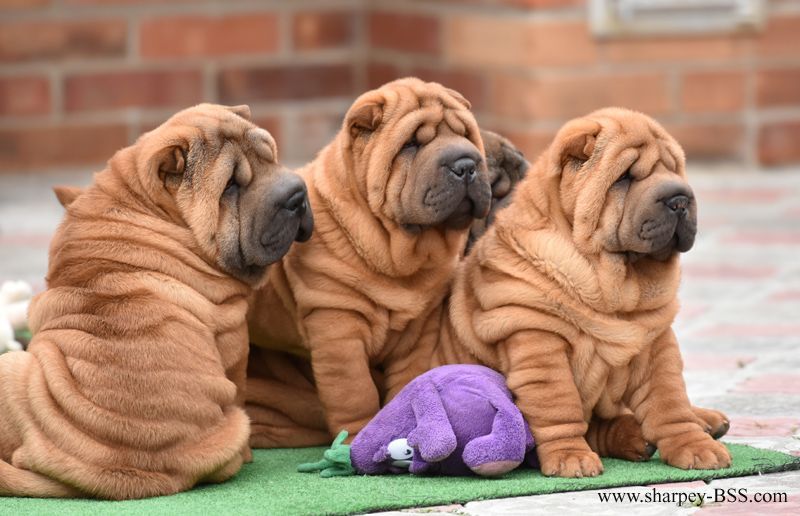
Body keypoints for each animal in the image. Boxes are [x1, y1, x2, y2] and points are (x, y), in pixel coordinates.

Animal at [0, 104, 312, 500]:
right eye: (230, 185)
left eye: (270, 155)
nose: (298, 195)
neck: (139, 205)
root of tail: (122, 475)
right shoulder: (234, 346)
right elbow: (238, 387)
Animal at [245, 77, 494, 448]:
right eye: (411, 145)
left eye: (466, 135)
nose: (466, 164)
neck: (399, 255)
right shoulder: (337, 323)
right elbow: (354, 390)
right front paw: (356, 438)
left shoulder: (421, 328)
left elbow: (409, 377)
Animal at [444, 109, 732, 480]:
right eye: (625, 177)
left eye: (675, 171)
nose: (680, 199)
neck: (613, 283)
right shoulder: (539, 341)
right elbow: (559, 402)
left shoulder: (654, 343)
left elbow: (668, 398)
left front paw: (693, 441)